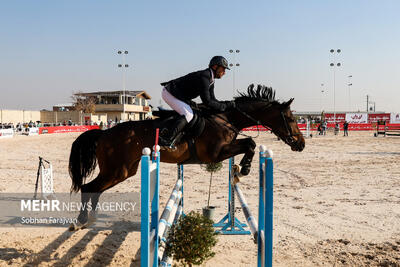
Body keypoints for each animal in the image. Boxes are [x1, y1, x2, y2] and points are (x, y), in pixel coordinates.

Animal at [67, 85, 304, 231]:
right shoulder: (215, 153)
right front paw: (244, 168)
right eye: (291, 118)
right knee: (88, 187)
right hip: (117, 170)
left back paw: (91, 219)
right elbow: (250, 144)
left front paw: (241, 168)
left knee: (95, 189)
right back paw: (79, 222)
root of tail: (104, 133)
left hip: (124, 171)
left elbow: (249, 144)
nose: (301, 144)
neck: (225, 119)